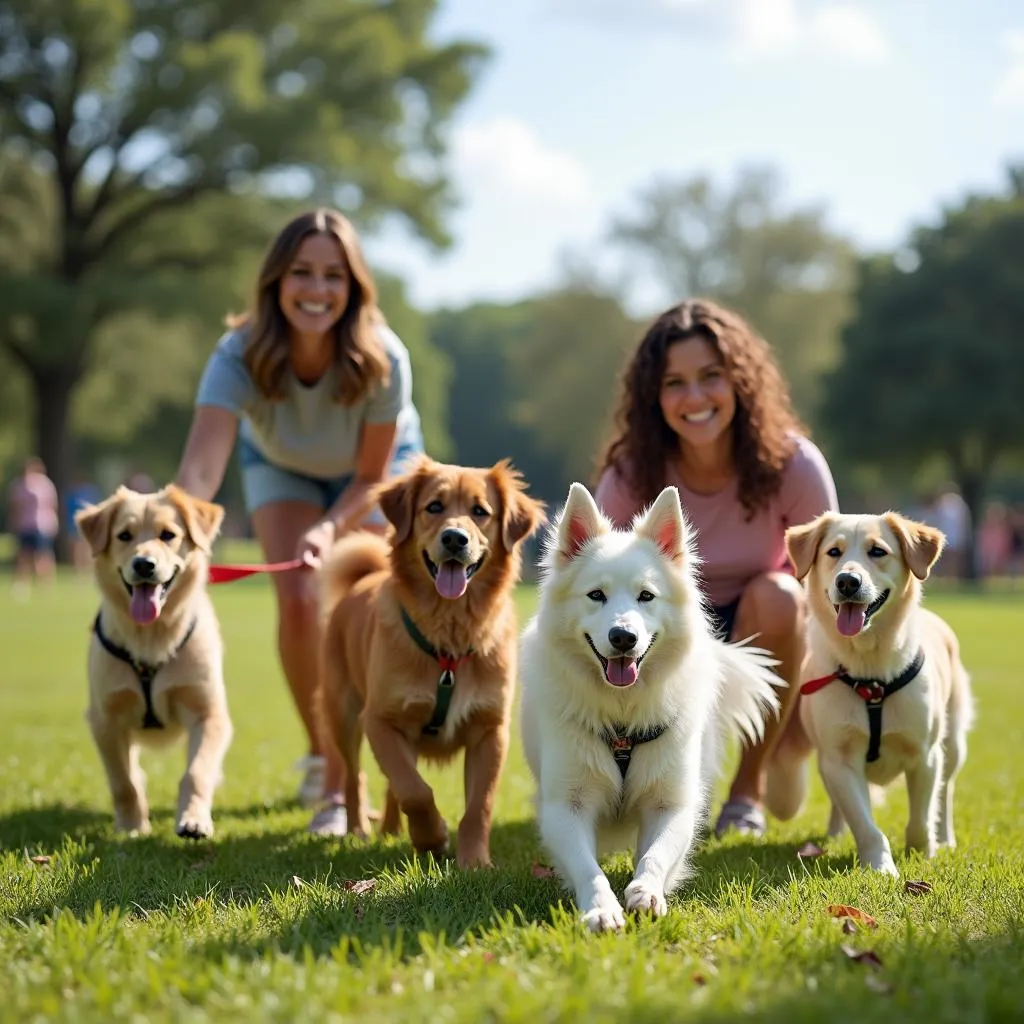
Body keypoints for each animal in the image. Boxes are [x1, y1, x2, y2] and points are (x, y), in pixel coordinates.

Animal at [75, 487, 232, 839]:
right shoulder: (106, 719)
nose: (144, 564)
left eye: (168, 535)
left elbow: (196, 772)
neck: (151, 640)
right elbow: (124, 782)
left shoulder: (208, 713)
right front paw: (132, 827)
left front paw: (193, 819)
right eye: (124, 535)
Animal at [319, 460, 548, 868]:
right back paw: (359, 829)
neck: (449, 641)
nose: (455, 538)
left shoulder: (490, 730)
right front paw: (433, 837)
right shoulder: (380, 720)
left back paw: (392, 830)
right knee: (355, 777)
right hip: (343, 714)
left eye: (480, 511)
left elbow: (479, 805)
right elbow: (415, 790)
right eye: (434, 507)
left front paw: (474, 861)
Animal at [524, 483, 778, 933]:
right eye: (596, 595)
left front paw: (647, 892)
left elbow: (656, 854)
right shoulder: (565, 805)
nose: (623, 637)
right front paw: (601, 909)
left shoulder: (670, 802)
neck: (622, 714)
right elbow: (588, 867)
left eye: (646, 596)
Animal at [770, 507, 974, 876]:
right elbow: (864, 823)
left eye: (878, 551)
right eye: (833, 552)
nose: (847, 581)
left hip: (953, 743)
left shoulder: (925, 754)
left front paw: (923, 852)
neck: (870, 676)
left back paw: (946, 838)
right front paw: (880, 865)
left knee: (947, 790)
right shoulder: (839, 759)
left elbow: (921, 817)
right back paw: (835, 833)